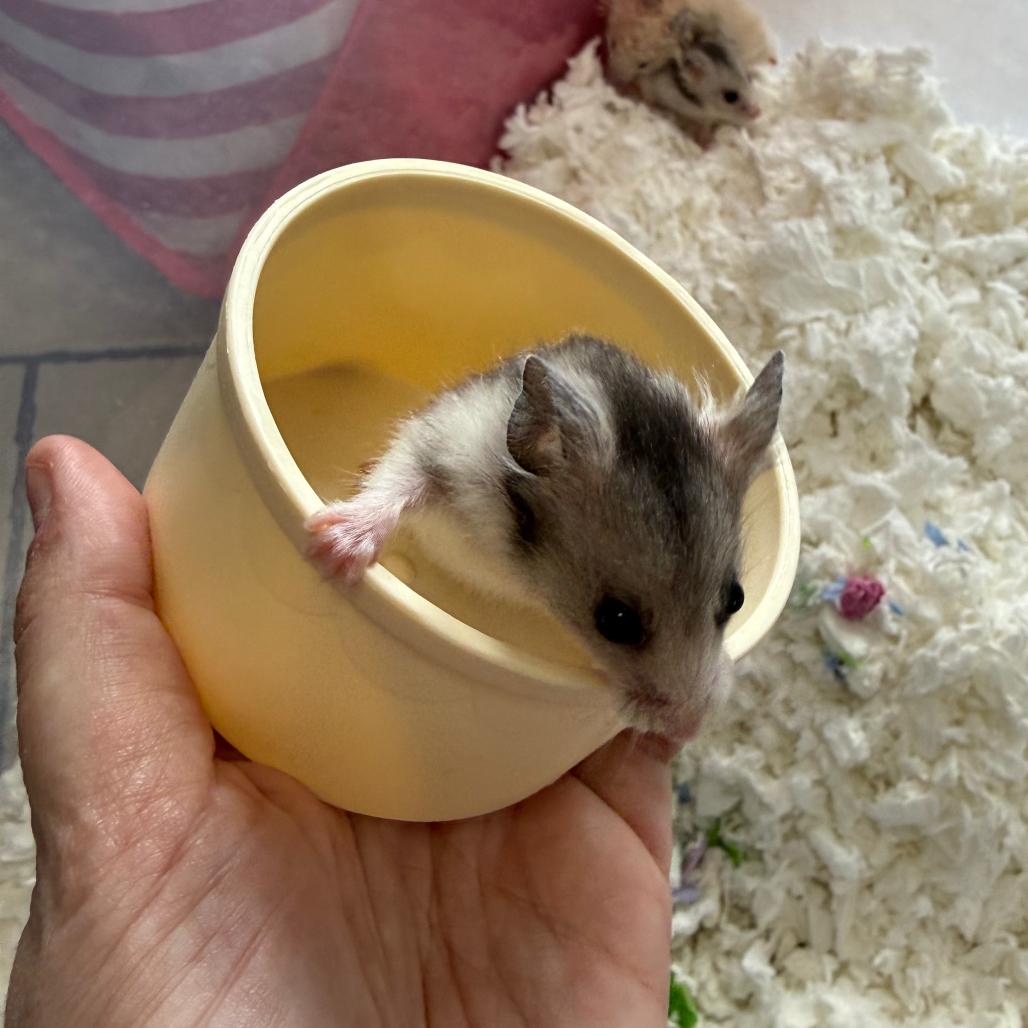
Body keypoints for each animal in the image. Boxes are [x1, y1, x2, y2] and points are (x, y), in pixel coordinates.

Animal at [307, 336, 784, 744]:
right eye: (615, 620)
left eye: (736, 599)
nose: (689, 730)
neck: (516, 567)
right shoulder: (436, 449)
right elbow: (397, 483)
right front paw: (329, 549)